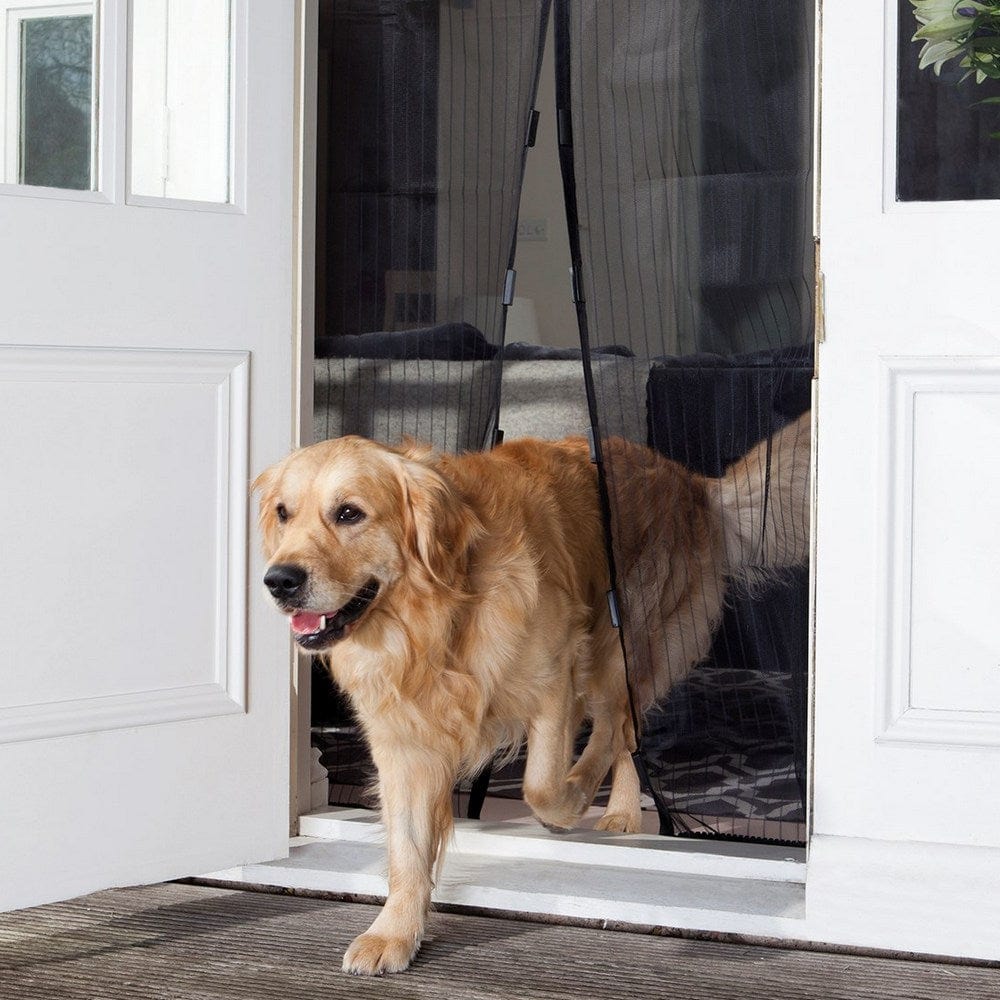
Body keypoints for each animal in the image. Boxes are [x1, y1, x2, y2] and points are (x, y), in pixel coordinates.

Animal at [254, 410, 808, 972]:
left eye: (349, 513)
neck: (435, 620)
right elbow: (406, 848)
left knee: (619, 724)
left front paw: (573, 798)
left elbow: (541, 788)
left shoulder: (555, 676)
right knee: (624, 730)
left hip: (624, 637)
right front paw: (395, 932)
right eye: (283, 513)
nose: (278, 580)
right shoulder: (402, 739)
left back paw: (607, 797)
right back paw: (623, 813)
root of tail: (691, 484)